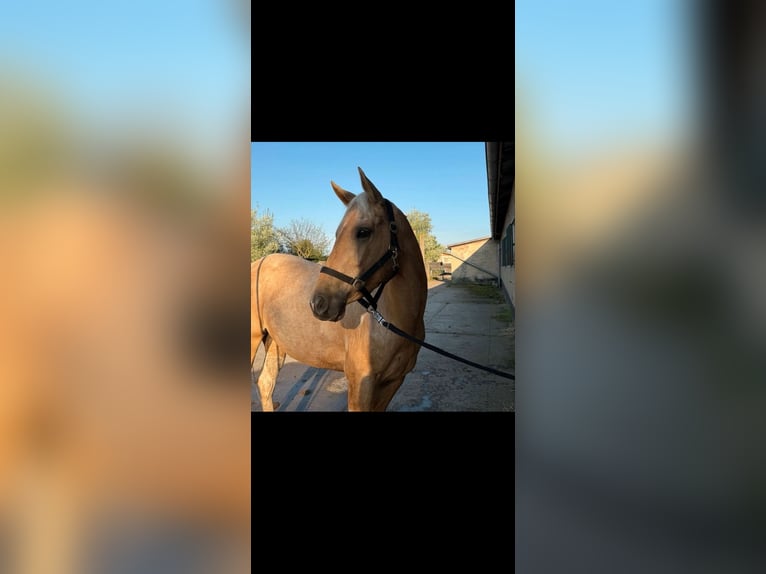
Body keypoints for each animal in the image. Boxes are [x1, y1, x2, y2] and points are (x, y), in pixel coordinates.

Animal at [251, 168, 428, 411]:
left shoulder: (393, 382)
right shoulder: (360, 385)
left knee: (265, 384)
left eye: (363, 231)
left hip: (275, 343)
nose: (319, 303)